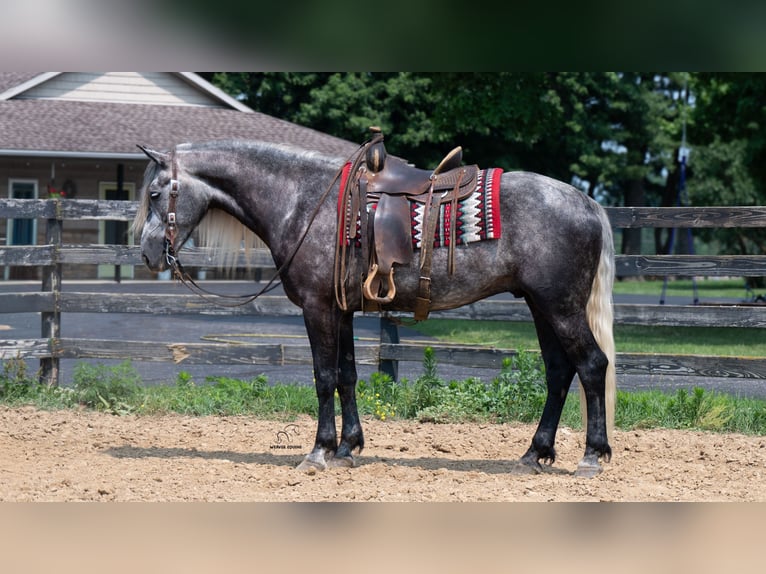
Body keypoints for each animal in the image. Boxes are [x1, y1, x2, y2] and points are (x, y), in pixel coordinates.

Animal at [133, 138, 616, 477]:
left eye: (155, 194)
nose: (149, 255)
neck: (302, 200)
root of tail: (587, 201)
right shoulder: (341, 309)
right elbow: (347, 376)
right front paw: (348, 448)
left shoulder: (317, 307)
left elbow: (324, 377)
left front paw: (318, 452)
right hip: (540, 306)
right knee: (559, 373)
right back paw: (534, 454)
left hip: (560, 307)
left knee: (591, 365)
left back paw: (591, 457)